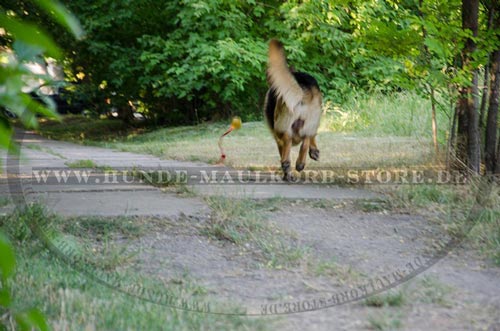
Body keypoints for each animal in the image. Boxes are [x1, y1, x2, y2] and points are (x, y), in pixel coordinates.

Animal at [264, 39, 322, 182]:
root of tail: (301, 88)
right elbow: (312, 137)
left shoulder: (277, 137)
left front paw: (287, 173)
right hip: (310, 119)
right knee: (304, 141)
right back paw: (300, 163)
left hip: (280, 126)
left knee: (288, 139)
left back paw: (287, 164)